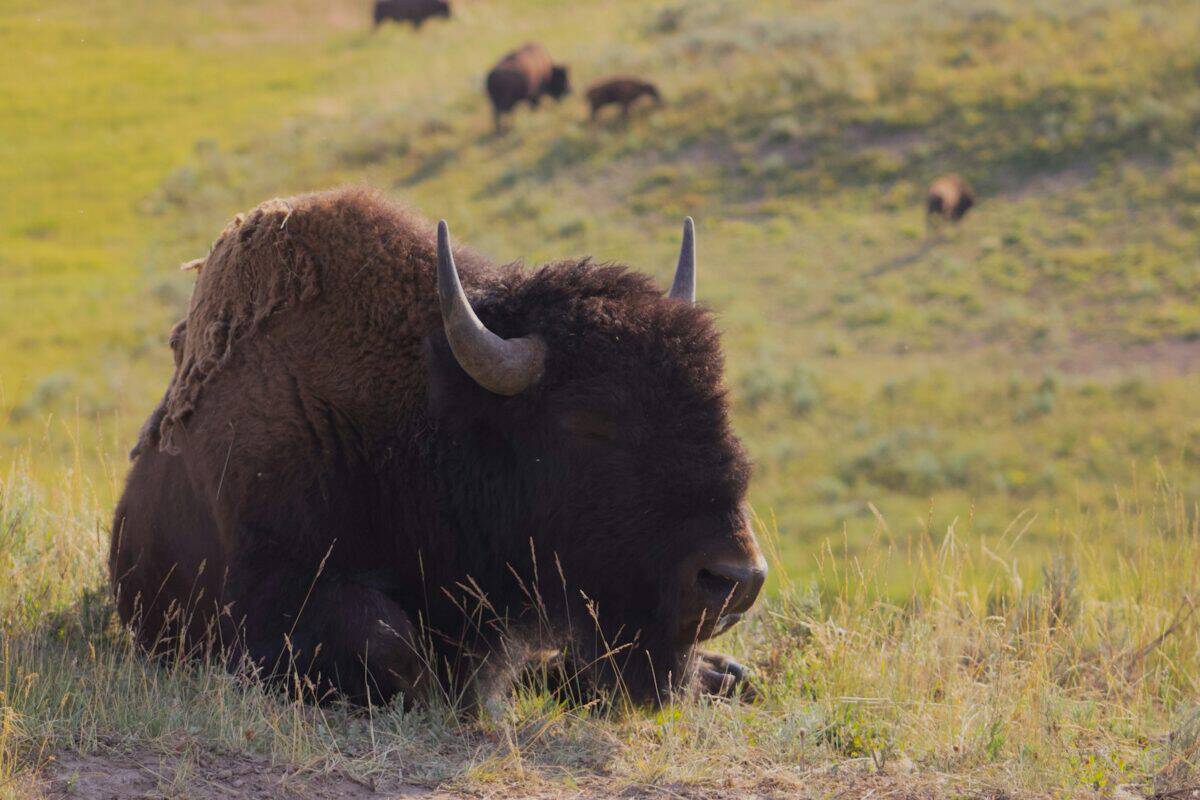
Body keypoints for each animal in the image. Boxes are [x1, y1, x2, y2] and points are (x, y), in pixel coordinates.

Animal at [110, 189, 765, 708]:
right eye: (589, 421)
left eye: (717, 400)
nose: (736, 580)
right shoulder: (265, 601)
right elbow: (392, 644)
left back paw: (728, 674)